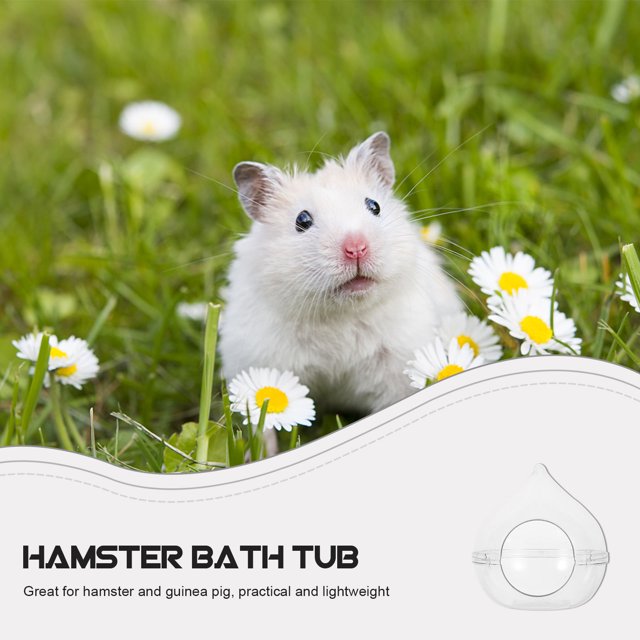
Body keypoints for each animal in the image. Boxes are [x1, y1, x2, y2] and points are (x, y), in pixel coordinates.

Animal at [219, 132, 462, 417]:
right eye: (302, 220)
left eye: (374, 206)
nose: (356, 248)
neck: (339, 315)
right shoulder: (264, 361)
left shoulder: (397, 364)